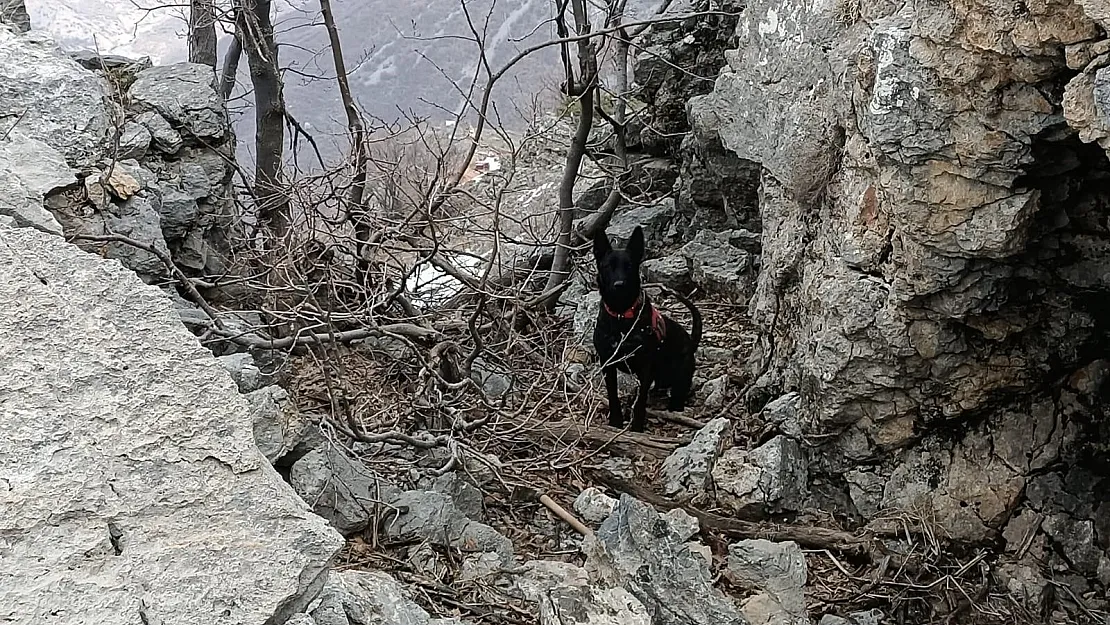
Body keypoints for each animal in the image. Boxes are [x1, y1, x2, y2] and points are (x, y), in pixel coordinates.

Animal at [590, 226, 701, 435]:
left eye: (629, 266)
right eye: (608, 266)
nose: (619, 285)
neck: (621, 315)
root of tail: (691, 343)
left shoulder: (645, 365)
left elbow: (640, 401)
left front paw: (636, 427)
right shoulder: (607, 363)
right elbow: (613, 395)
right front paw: (615, 422)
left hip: (680, 376)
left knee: (675, 395)